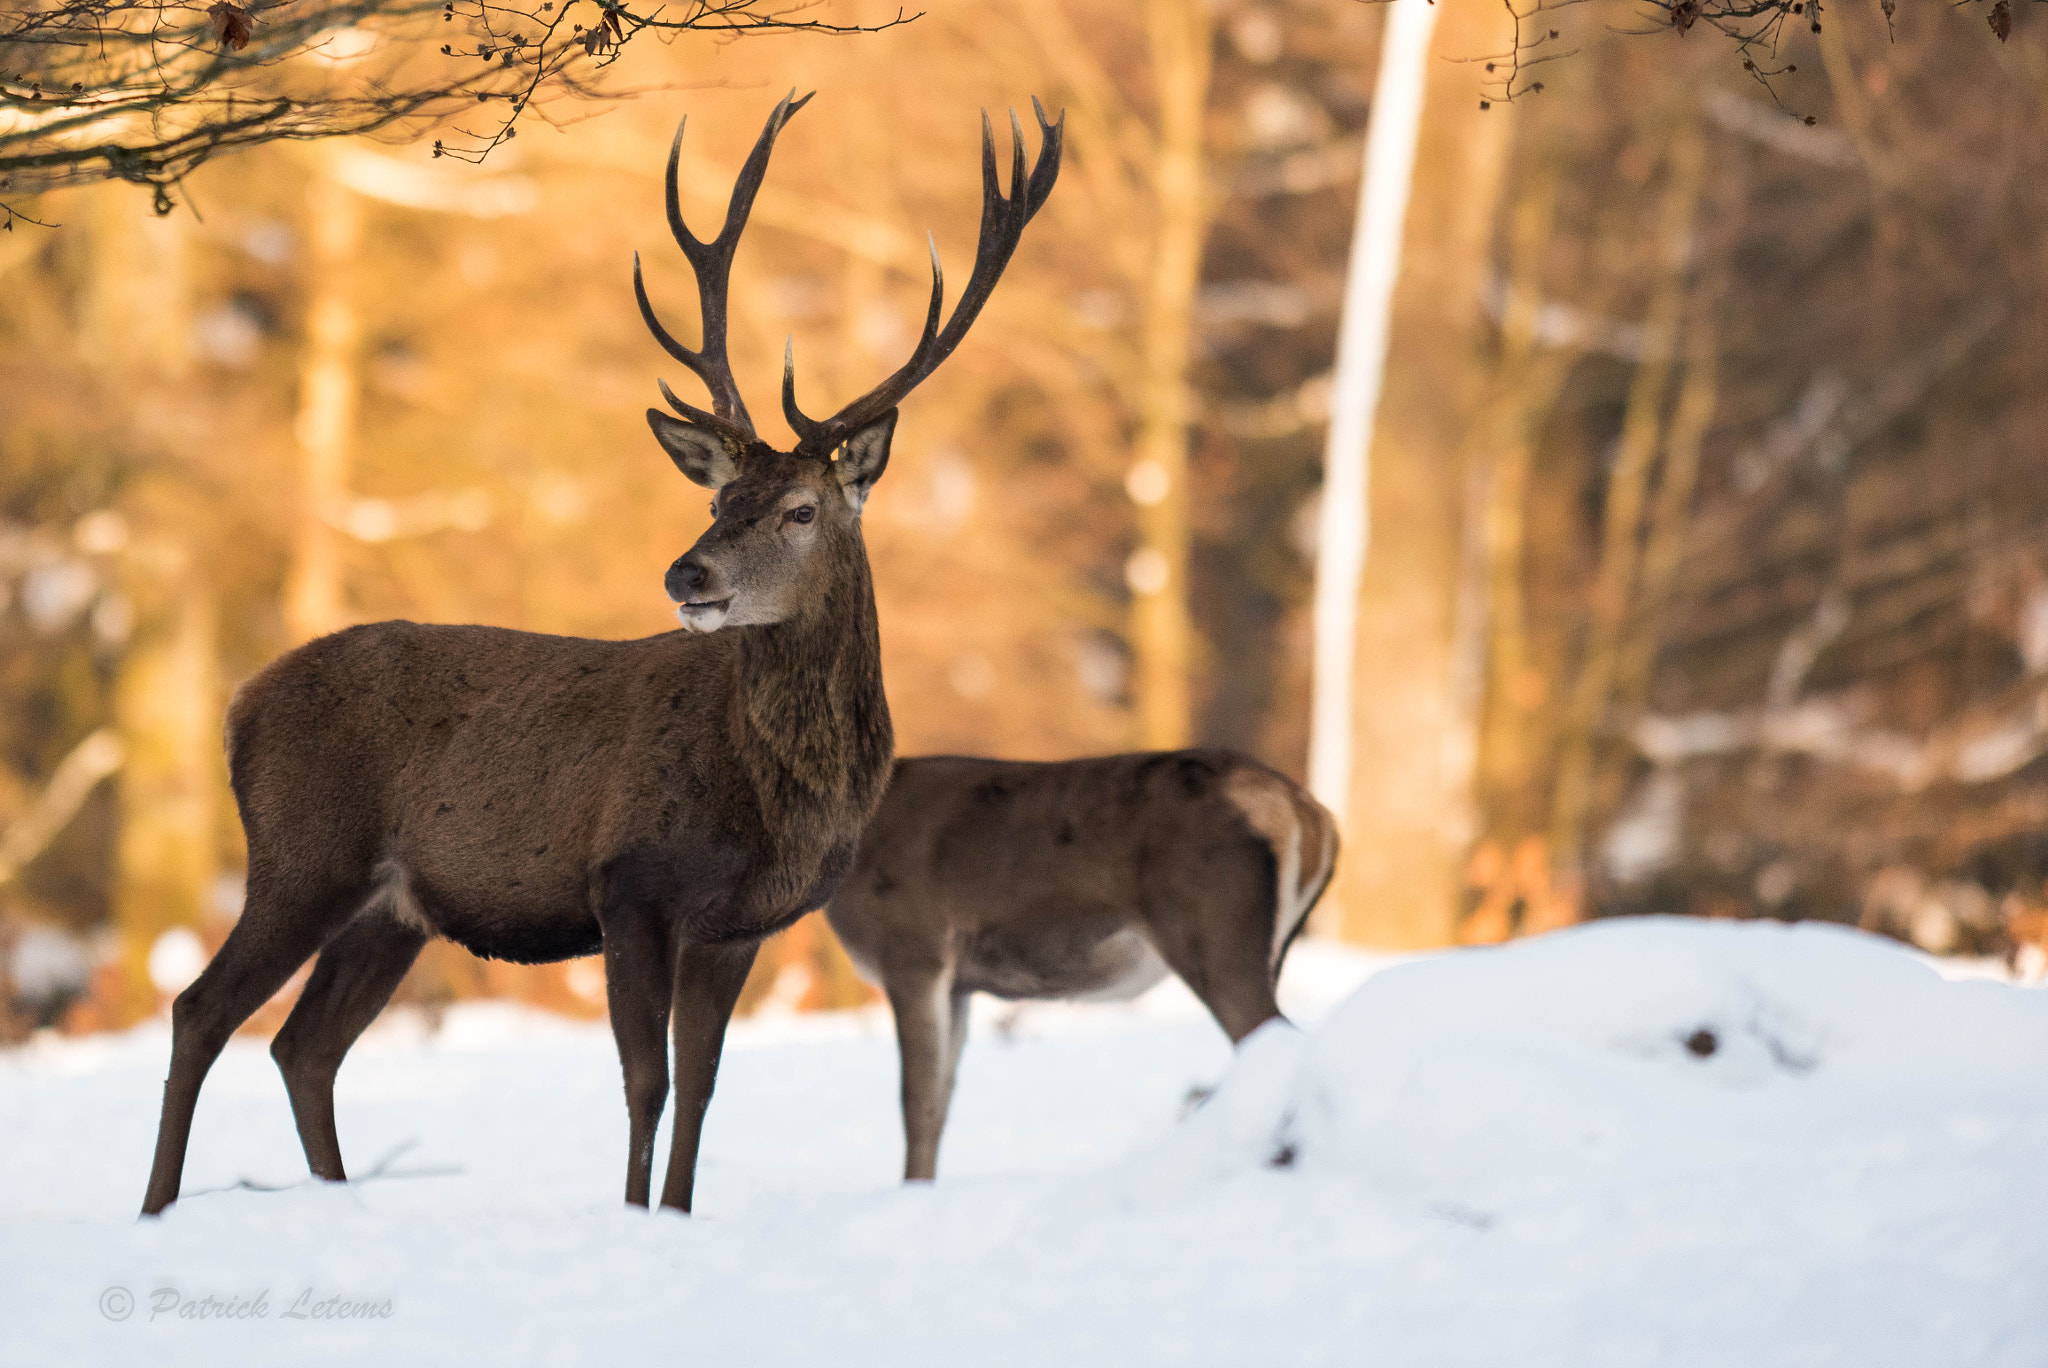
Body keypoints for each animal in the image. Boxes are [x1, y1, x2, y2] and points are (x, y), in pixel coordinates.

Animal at [140, 90, 1073, 1212]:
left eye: (801, 508)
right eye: (718, 500)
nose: (687, 576)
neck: (783, 799)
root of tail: (239, 706)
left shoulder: (741, 925)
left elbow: (703, 1085)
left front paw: (673, 1213)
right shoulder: (630, 882)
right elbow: (646, 1079)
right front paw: (632, 1214)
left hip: (390, 908)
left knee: (303, 1048)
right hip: (301, 853)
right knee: (201, 1012)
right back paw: (156, 1210)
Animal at [823, 749, 1335, 1179]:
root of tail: (1314, 816)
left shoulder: (913, 949)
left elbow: (917, 1102)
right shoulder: (957, 984)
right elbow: (942, 1102)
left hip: (1214, 932)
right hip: (1266, 948)